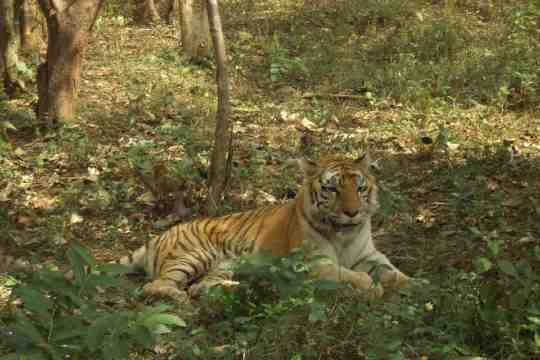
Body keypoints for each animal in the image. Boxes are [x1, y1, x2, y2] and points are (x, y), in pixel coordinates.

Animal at [119, 152, 410, 300]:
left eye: (359, 188)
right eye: (332, 189)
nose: (352, 212)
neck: (345, 235)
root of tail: (160, 235)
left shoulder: (369, 256)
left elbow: (394, 273)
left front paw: (416, 286)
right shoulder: (312, 264)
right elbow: (349, 275)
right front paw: (372, 287)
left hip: (223, 266)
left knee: (201, 287)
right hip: (192, 255)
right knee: (154, 286)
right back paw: (177, 297)